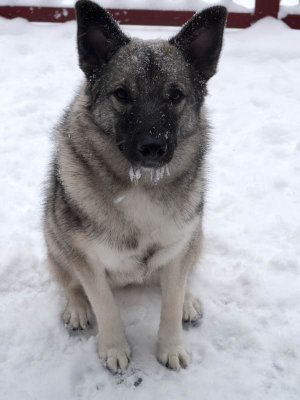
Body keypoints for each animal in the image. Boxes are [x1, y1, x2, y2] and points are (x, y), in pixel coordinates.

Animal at [43, 0, 226, 372]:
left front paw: (171, 346)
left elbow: (170, 302)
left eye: (175, 95)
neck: (141, 183)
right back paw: (77, 308)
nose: (153, 146)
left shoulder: (179, 247)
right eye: (122, 94)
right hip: (54, 239)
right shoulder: (87, 260)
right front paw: (114, 347)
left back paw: (188, 301)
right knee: (70, 283)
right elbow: (104, 305)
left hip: (195, 239)